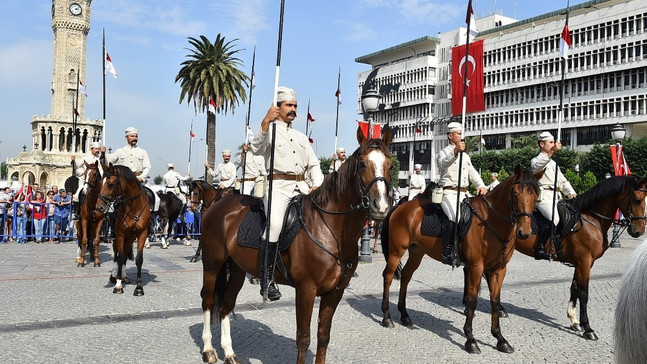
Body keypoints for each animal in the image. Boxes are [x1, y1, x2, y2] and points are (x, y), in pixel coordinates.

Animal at [95, 165, 151, 296]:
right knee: (117, 254)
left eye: (110, 184)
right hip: (118, 238)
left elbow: (138, 259)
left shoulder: (142, 234)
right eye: (101, 183)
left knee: (125, 253)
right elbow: (120, 258)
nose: (99, 207)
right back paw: (114, 276)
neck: (134, 207)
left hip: (130, 238)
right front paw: (118, 285)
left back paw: (124, 276)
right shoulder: (120, 235)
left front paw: (139, 287)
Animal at [200, 126, 392, 362]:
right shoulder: (306, 290)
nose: (380, 206)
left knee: (226, 304)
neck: (331, 231)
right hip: (212, 264)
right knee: (208, 300)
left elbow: (323, 336)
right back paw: (209, 350)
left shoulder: (334, 293)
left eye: (391, 165)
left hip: (236, 268)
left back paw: (229, 352)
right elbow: (303, 338)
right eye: (363, 163)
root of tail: (219, 204)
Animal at [380, 166, 540, 354]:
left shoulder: (498, 269)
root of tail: (400, 206)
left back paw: (404, 315)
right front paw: (471, 340)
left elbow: (495, 302)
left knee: (405, 276)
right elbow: (472, 301)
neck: (490, 221)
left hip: (416, 252)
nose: (524, 232)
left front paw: (500, 339)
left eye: (536, 195)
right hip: (396, 251)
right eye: (515, 193)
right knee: (388, 276)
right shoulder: (476, 267)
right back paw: (387, 317)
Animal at [512, 175, 644, 340]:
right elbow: (583, 293)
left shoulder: (581, 263)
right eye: (638, 199)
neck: (592, 220)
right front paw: (588, 328)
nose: (640, 231)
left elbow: (574, 288)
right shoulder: (584, 262)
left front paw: (574, 321)